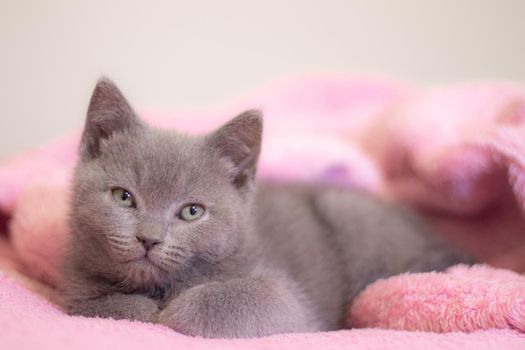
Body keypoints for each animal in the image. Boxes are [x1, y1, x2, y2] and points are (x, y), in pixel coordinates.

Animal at [61, 78, 470, 338]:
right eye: (123, 196)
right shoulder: (73, 288)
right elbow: (96, 305)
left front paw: (178, 312)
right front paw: (143, 310)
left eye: (192, 211)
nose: (149, 239)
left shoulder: (285, 297)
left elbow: (249, 296)